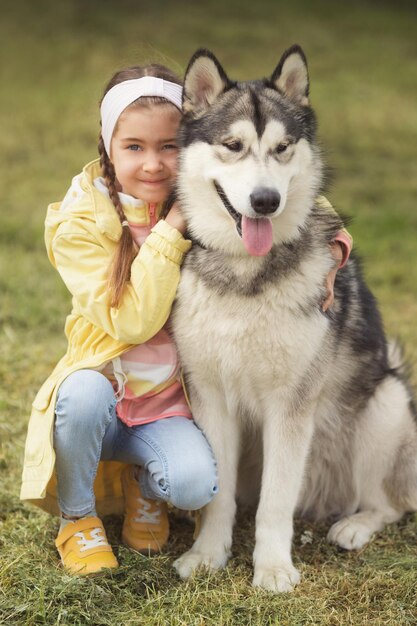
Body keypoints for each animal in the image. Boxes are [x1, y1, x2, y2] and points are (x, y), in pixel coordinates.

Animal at [170, 44, 416, 588]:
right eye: (233, 145)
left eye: (283, 147)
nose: (266, 200)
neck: (244, 275)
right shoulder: (210, 395)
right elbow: (218, 497)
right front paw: (208, 555)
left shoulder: (291, 403)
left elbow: (276, 502)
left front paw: (273, 569)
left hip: (386, 405)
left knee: (390, 504)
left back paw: (354, 526)